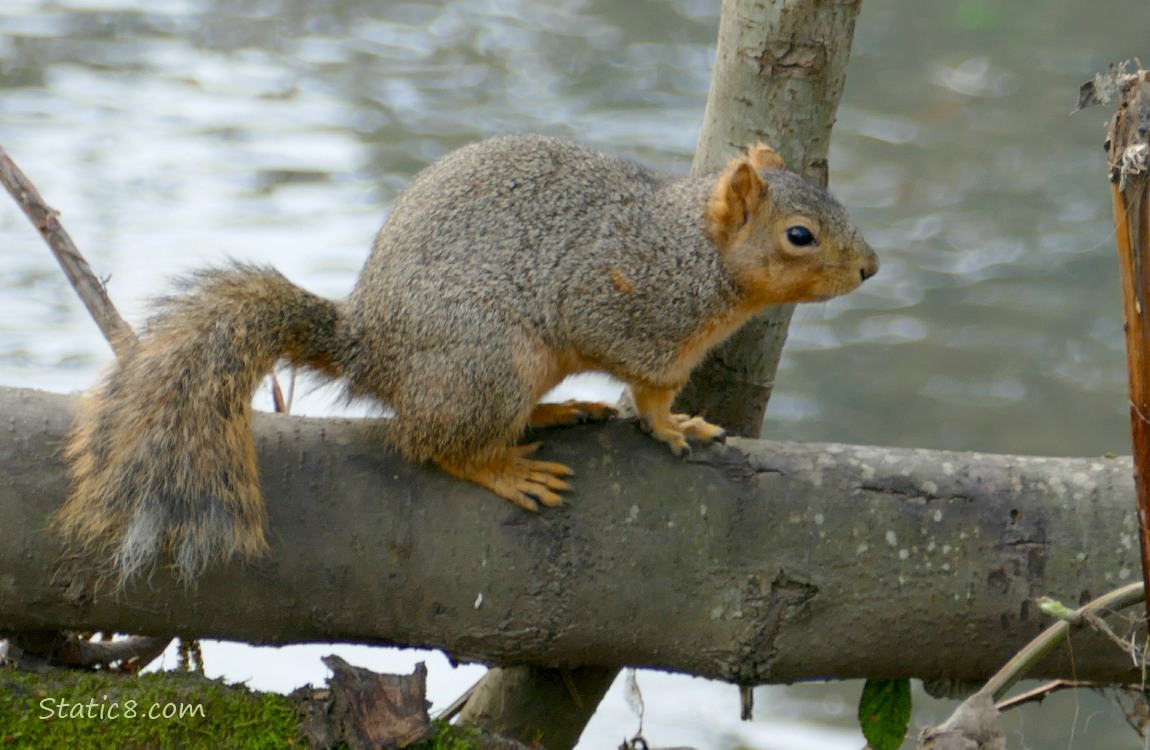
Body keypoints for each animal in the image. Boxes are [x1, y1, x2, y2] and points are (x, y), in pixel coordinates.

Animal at [54, 134, 878, 586]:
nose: (870, 268)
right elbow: (648, 386)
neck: (695, 251)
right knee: (434, 444)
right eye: (800, 235)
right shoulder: (624, 308)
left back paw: (558, 408)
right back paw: (507, 468)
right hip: (488, 365)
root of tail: (371, 351)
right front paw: (672, 423)